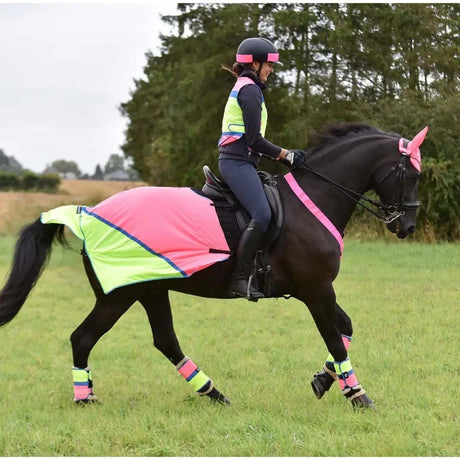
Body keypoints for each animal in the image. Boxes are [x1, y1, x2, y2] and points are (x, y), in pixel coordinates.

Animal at [0, 123, 428, 410]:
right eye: (410, 173)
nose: (406, 226)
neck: (314, 200)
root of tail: (87, 214)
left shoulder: (316, 290)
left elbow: (345, 329)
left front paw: (324, 380)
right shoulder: (316, 290)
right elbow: (335, 337)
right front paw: (357, 394)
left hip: (150, 290)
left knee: (165, 341)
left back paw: (212, 392)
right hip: (118, 295)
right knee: (83, 338)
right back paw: (85, 399)